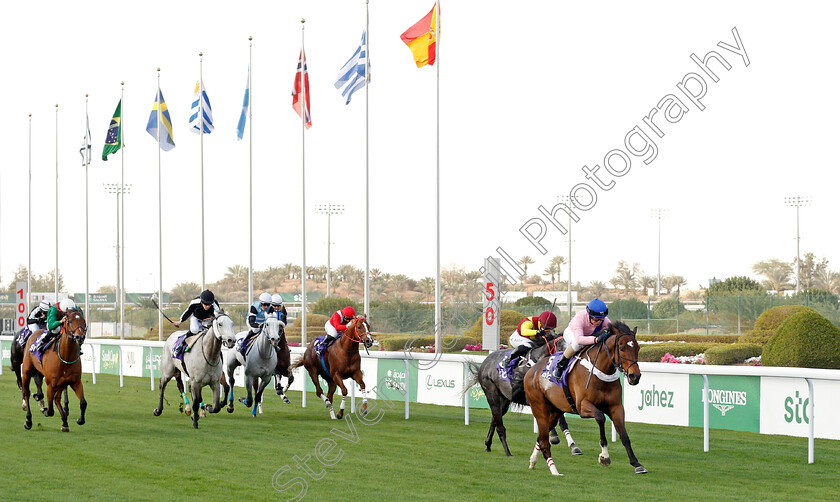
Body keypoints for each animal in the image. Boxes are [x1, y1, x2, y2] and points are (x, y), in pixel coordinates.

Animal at [520, 322, 648, 474]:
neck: (602, 373)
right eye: (621, 348)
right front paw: (604, 456)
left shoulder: (616, 407)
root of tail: (531, 370)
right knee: (543, 433)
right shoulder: (582, 406)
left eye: (638, 348)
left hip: (556, 409)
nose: (635, 376)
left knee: (542, 435)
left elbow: (624, 436)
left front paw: (637, 464)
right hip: (539, 407)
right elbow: (600, 417)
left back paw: (533, 460)